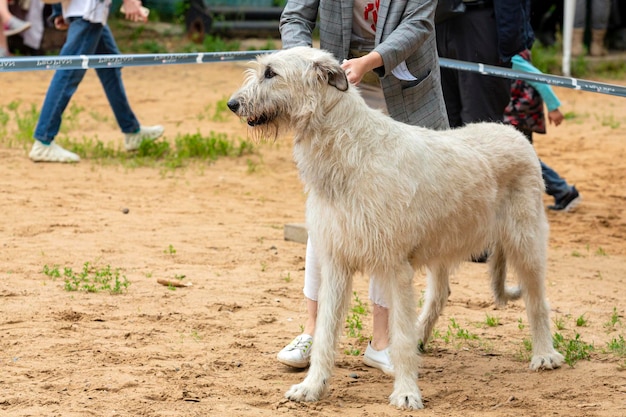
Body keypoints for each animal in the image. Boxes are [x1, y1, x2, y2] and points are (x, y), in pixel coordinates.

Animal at [227, 47, 564, 408]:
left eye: (271, 73)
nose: (232, 104)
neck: (348, 148)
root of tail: (514, 133)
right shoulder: (335, 260)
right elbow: (326, 331)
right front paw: (312, 386)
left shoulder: (395, 266)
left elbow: (398, 335)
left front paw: (405, 392)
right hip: (442, 244)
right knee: (440, 295)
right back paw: (422, 338)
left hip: (525, 241)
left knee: (537, 300)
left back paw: (544, 354)